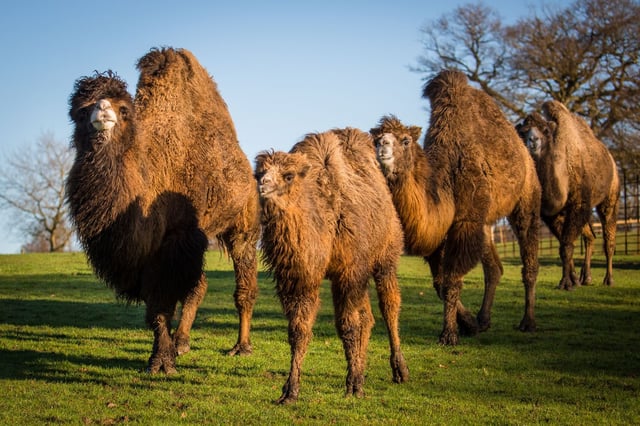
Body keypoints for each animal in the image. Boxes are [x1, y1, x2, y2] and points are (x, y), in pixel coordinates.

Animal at [66, 47, 260, 373]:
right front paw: (164, 355)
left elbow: (162, 301)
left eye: (124, 109)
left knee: (243, 285)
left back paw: (242, 347)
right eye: (80, 110)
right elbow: (158, 305)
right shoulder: (150, 253)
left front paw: (162, 362)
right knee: (199, 285)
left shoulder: (176, 239)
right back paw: (182, 341)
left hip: (243, 222)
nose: (102, 111)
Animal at [255, 128, 409, 404]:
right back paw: (363, 369)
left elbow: (348, 326)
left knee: (389, 305)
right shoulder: (300, 279)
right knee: (368, 317)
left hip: (386, 253)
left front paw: (354, 386)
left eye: (288, 175)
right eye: (259, 173)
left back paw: (399, 370)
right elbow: (298, 330)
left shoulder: (349, 270)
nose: (264, 185)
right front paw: (290, 391)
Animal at [371, 70, 541, 346]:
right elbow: (439, 283)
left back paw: (528, 322)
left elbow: (451, 280)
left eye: (405, 140)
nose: (383, 146)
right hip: (484, 222)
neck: (444, 182)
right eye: (375, 139)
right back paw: (483, 319)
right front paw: (469, 323)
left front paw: (449, 334)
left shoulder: (464, 223)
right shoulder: (442, 231)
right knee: (494, 268)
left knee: (528, 250)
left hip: (526, 192)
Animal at [516, 100, 620, 289]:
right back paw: (586, 278)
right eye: (523, 132)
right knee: (590, 236)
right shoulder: (553, 214)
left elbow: (566, 245)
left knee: (608, 237)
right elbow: (565, 244)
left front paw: (566, 282)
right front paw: (573, 279)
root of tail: (611, 159)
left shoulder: (578, 204)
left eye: (545, 131)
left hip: (611, 196)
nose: (533, 140)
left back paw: (609, 279)